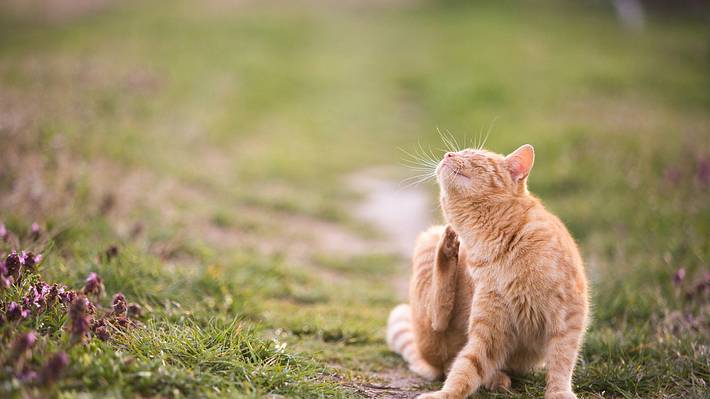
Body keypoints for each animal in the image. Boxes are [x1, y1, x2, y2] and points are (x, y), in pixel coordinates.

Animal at [390, 145, 588, 399]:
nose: (448, 155)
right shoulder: (488, 327)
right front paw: (443, 394)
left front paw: (559, 392)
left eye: (474, 156)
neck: (493, 241)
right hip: (429, 239)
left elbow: (562, 360)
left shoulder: (569, 315)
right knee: (439, 327)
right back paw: (448, 248)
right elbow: (465, 367)